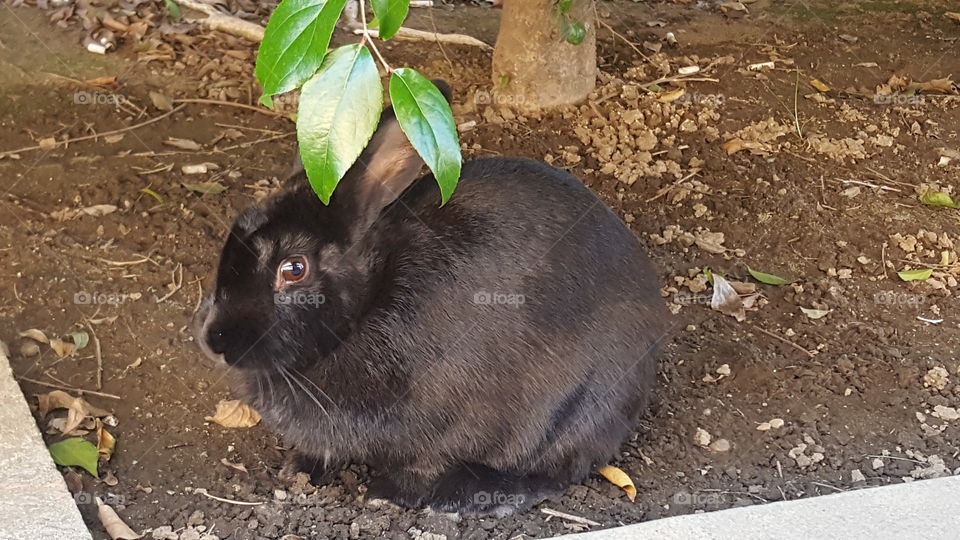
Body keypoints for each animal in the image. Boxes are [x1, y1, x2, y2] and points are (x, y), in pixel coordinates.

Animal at [194, 84, 667, 516]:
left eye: (293, 269)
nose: (214, 341)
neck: (369, 304)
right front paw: (300, 469)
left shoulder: (450, 422)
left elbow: (425, 463)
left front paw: (390, 494)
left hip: (577, 410)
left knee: (556, 472)